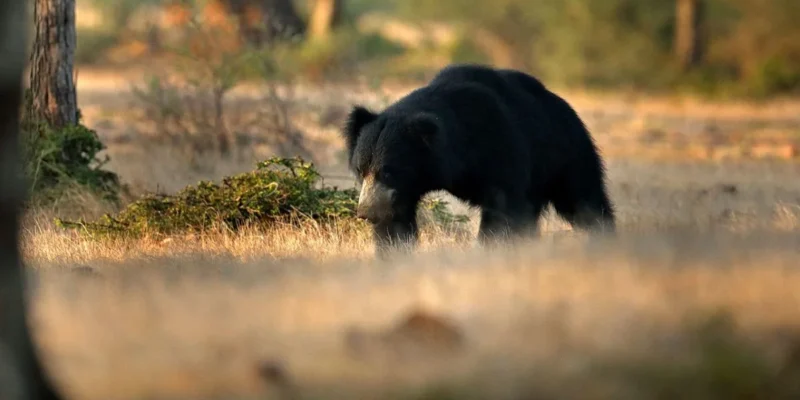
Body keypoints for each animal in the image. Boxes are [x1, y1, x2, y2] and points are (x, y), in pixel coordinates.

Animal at [342, 63, 615, 257]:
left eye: (387, 171)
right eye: (361, 170)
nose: (366, 213)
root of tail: (563, 106)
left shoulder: (497, 144)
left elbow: (502, 204)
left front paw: (492, 247)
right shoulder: (403, 189)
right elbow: (396, 220)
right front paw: (393, 252)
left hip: (565, 153)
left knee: (583, 198)